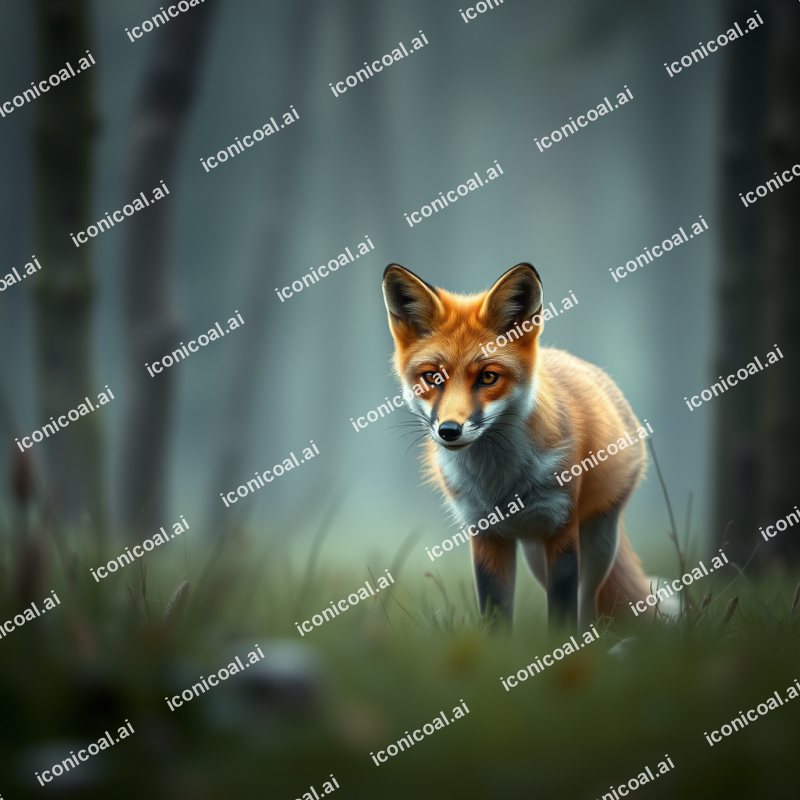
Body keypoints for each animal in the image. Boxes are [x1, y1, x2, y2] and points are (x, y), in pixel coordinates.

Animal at [382, 261, 652, 631]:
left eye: (488, 377)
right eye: (432, 378)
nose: (449, 431)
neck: (500, 482)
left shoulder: (561, 526)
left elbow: (563, 613)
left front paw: (564, 645)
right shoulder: (486, 533)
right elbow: (496, 615)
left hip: (599, 540)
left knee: (588, 598)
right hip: (535, 555)